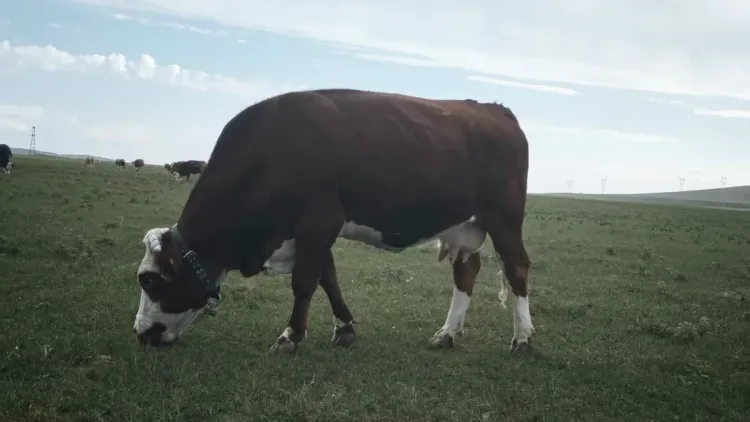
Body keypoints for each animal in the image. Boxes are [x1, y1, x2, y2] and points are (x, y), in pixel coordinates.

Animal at [134, 88, 533, 356]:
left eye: (149, 280)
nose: (140, 333)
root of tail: (494, 109)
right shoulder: (313, 232)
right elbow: (329, 279)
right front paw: (344, 329)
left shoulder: (318, 221)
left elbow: (304, 282)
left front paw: (290, 337)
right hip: (465, 226)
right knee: (466, 272)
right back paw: (447, 333)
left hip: (504, 219)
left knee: (516, 270)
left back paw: (524, 339)